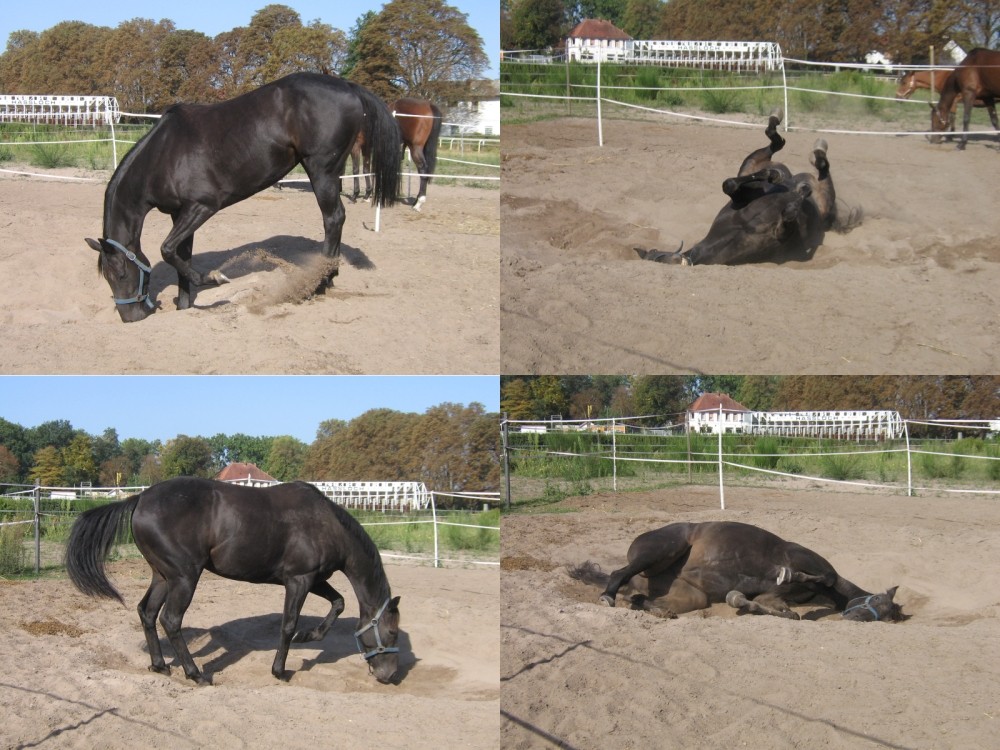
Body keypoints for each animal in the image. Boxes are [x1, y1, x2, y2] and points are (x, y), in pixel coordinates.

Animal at [63, 482, 402, 688]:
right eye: (392, 633)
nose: (389, 675)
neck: (326, 523)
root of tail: (140, 498)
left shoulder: (314, 579)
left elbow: (338, 603)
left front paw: (310, 636)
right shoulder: (299, 580)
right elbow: (288, 624)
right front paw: (280, 670)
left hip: (162, 576)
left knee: (146, 613)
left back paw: (160, 666)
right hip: (184, 577)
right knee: (170, 620)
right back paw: (195, 674)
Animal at [85, 73, 398, 324]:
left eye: (119, 274)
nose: (130, 317)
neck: (162, 155)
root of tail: (347, 85)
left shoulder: (202, 207)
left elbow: (167, 249)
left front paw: (214, 279)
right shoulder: (180, 213)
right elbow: (180, 255)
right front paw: (185, 306)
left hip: (322, 170)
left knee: (333, 219)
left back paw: (321, 282)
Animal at [572, 524, 908, 624]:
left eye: (888, 615)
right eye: (877, 600)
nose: (856, 618)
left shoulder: (773, 598)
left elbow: (784, 611)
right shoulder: (802, 559)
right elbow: (818, 577)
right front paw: (786, 575)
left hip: (691, 594)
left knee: (645, 599)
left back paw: (650, 606)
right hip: (662, 550)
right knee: (619, 572)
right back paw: (608, 596)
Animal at [632, 109, 860, 264]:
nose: (802, 187)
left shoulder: (740, 198)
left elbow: (729, 184)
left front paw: (774, 176)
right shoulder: (782, 236)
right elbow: (788, 214)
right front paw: (799, 192)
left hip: (749, 163)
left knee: (778, 146)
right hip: (824, 198)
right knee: (820, 168)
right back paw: (813, 160)